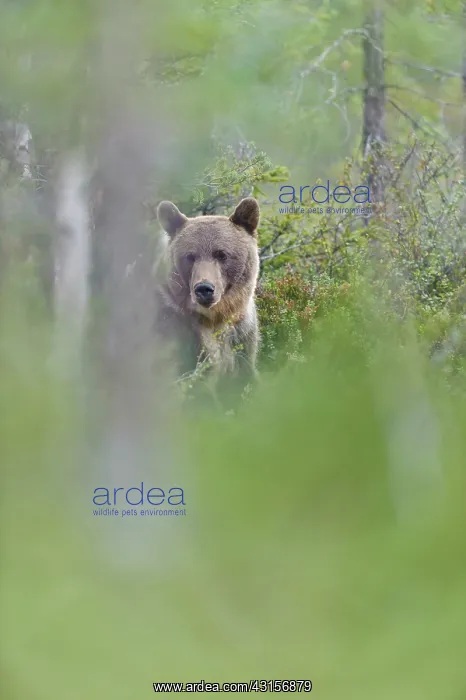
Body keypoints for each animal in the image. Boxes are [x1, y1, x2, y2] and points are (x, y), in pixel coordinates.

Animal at [155, 197, 261, 394]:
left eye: (222, 254)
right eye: (190, 256)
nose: (204, 288)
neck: (216, 316)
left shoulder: (242, 332)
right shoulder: (181, 328)